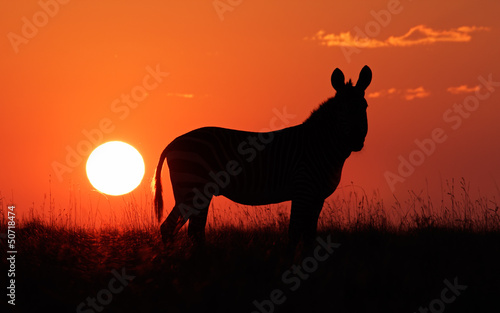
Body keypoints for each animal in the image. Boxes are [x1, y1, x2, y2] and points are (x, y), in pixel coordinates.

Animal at [152, 66, 372, 249]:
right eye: (341, 109)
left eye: (365, 106)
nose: (356, 140)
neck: (320, 145)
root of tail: (174, 142)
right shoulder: (302, 190)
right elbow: (294, 233)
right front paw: (289, 267)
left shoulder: (317, 197)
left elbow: (310, 236)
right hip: (192, 187)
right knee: (180, 229)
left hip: (195, 191)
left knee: (184, 230)